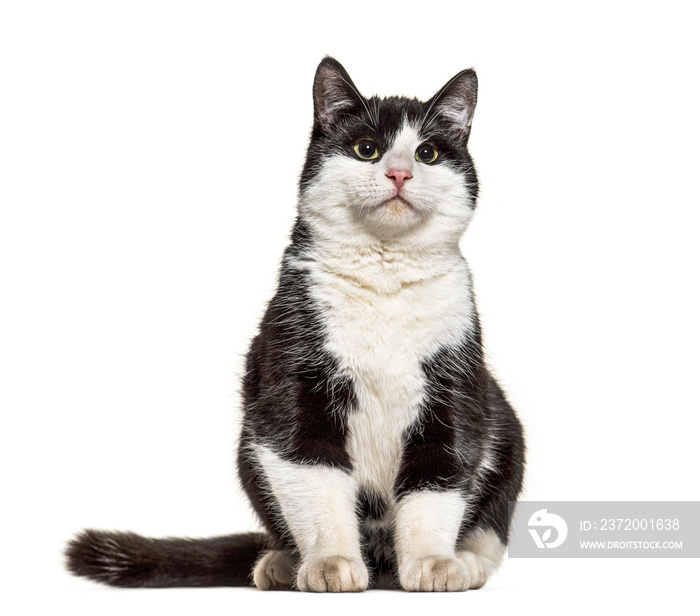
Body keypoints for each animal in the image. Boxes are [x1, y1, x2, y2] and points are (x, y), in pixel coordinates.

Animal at [67, 56, 524, 592]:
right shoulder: (289, 369)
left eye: (427, 153)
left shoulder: (456, 384)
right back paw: (282, 563)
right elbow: (310, 475)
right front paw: (330, 562)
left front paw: (433, 562)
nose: (399, 173)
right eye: (366, 149)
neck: (384, 282)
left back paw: (467, 560)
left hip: (505, 423)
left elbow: (441, 474)